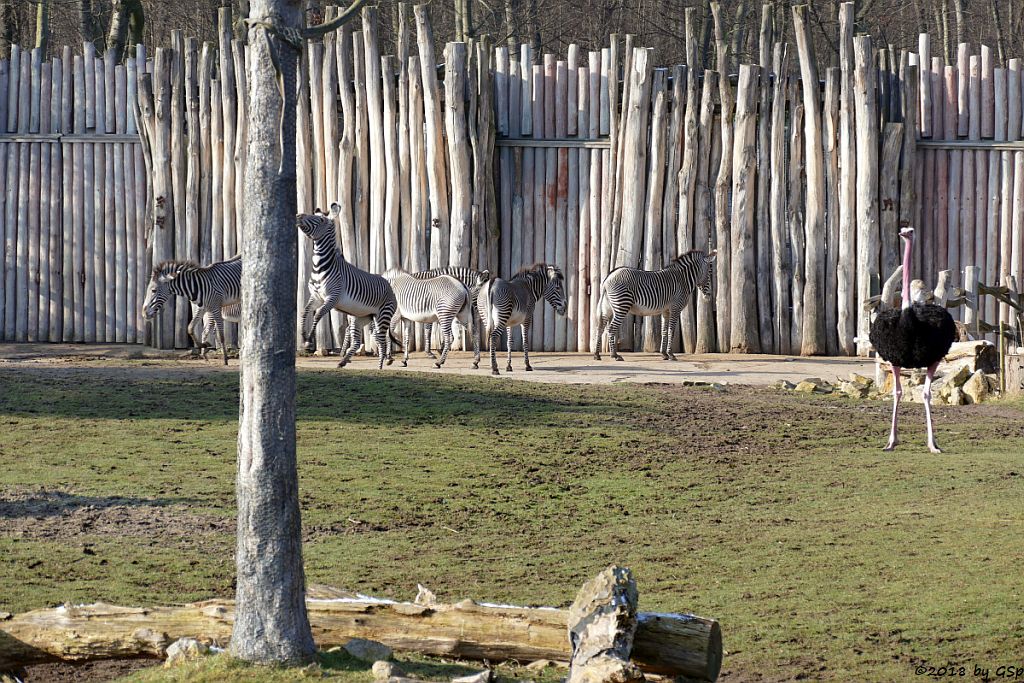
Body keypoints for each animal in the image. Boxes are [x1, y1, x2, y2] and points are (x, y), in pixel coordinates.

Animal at [296, 204, 395, 368]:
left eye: (321, 220)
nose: (298, 216)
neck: (319, 266)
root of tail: (389, 286)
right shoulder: (316, 297)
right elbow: (304, 313)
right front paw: (304, 336)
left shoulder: (332, 297)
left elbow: (317, 315)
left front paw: (309, 339)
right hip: (361, 318)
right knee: (359, 341)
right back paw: (344, 361)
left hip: (383, 315)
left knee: (382, 341)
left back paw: (381, 367)